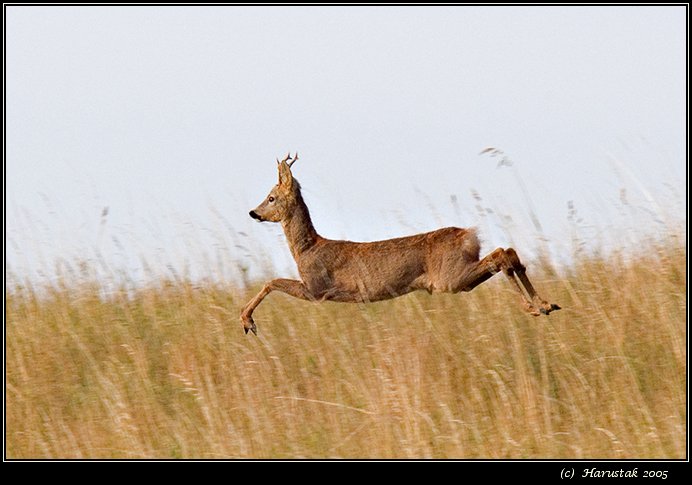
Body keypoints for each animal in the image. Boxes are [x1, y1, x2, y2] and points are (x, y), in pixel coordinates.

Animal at [241, 153, 560, 335]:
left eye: (271, 197)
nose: (253, 212)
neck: (307, 249)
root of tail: (469, 235)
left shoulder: (316, 288)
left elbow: (272, 281)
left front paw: (247, 321)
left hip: (450, 277)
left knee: (499, 255)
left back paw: (535, 307)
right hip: (459, 278)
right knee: (508, 251)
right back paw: (547, 304)